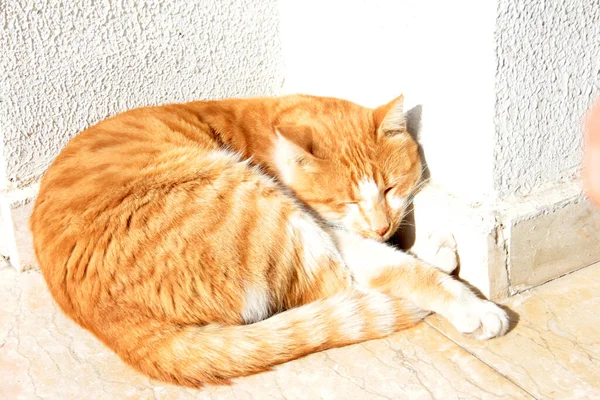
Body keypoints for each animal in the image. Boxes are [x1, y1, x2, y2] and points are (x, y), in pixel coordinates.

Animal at [30, 94, 508, 388]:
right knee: (342, 285)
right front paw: (473, 307)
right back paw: (436, 257)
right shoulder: (328, 227)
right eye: (346, 200)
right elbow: (397, 269)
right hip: (254, 201)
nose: (381, 226)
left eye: (391, 188)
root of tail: (109, 320)